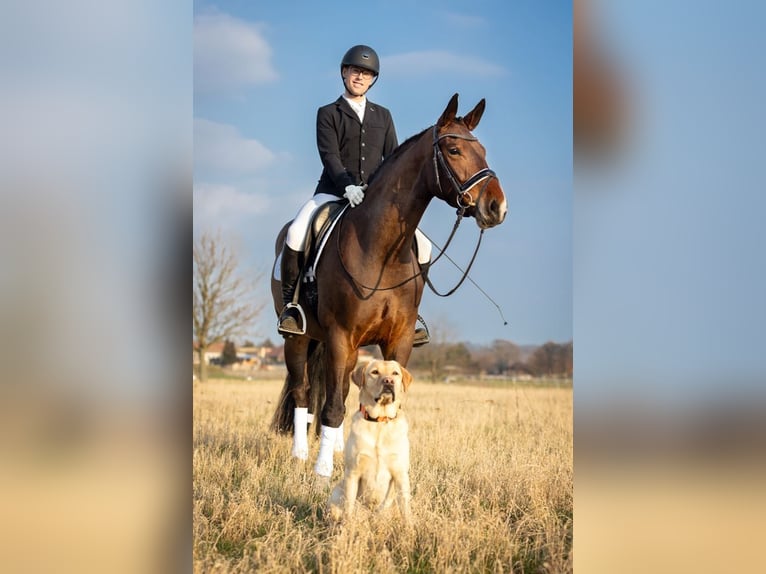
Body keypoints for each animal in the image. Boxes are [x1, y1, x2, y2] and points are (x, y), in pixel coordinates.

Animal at [270, 93, 508, 477]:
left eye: (483, 150)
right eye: (454, 149)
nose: (497, 206)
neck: (381, 250)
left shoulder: (398, 339)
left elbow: (379, 402)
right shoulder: (340, 336)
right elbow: (331, 406)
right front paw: (323, 474)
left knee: (343, 391)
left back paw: (340, 449)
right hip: (300, 339)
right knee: (303, 391)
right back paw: (301, 455)